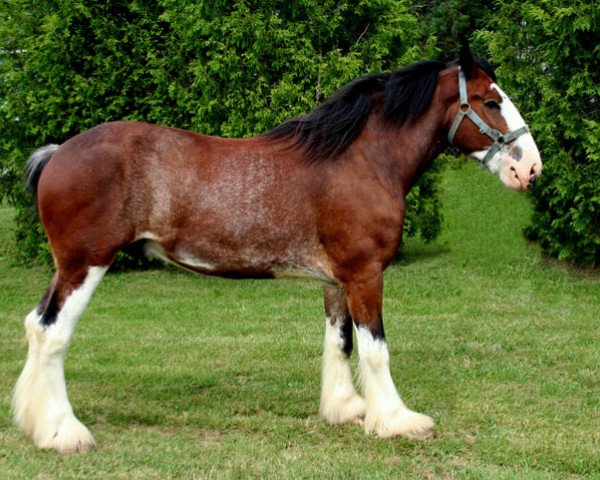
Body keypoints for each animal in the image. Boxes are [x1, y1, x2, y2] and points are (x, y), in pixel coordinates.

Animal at [11, 42, 540, 454]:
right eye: (492, 102)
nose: (530, 168)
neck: (361, 159)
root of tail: (58, 153)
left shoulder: (337, 279)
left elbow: (340, 342)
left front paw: (346, 409)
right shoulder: (365, 273)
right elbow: (375, 349)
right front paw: (396, 420)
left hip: (68, 268)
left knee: (36, 325)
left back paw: (37, 425)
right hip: (86, 264)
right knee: (54, 334)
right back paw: (64, 433)